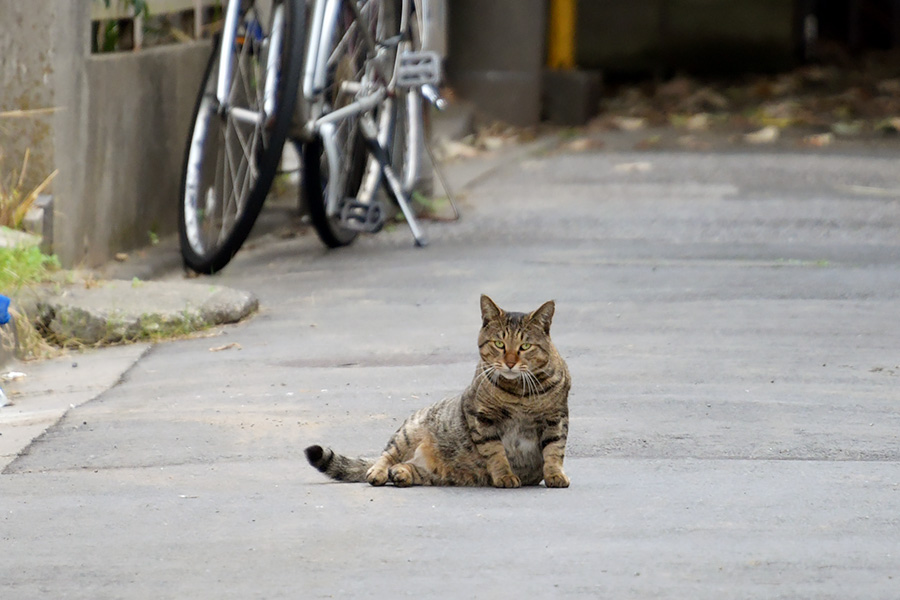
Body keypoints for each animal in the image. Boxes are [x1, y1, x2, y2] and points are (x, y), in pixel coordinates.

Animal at [302, 296, 568, 488]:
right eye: (499, 344)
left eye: (525, 346)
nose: (510, 363)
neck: (519, 393)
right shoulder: (481, 419)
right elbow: (496, 453)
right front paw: (504, 476)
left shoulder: (556, 420)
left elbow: (554, 451)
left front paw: (555, 475)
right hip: (407, 434)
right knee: (385, 456)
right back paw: (378, 472)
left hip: (436, 472)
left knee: (409, 468)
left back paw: (401, 474)